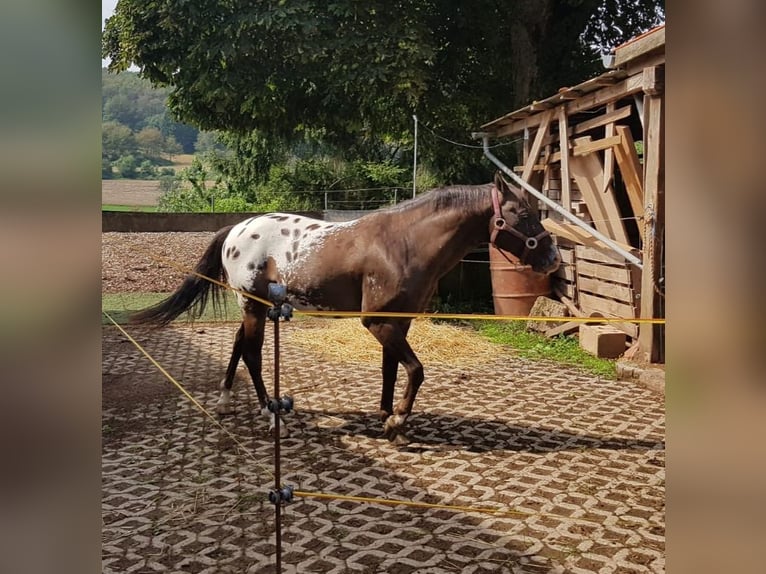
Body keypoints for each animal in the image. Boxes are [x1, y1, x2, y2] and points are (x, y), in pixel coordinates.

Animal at [130, 174, 564, 446]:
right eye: (525, 215)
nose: (553, 260)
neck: (404, 243)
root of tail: (236, 229)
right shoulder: (376, 322)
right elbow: (416, 370)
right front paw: (397, 420)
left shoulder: (398, 323)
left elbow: (392, 370)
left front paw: (390, 421)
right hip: (254, 306)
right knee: (251, 354)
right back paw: (271, 415)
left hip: (254, 307)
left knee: (239, 345)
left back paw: (223, 403)